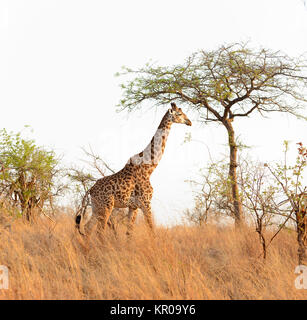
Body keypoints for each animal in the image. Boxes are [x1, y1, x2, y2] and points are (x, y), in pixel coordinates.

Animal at [76, 103, 192, 238]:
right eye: (179, 113)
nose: (189, 122)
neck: (149, 167)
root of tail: (90, 190)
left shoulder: (134, 206)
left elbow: (129, 233)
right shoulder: (146, 202)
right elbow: (151, 229)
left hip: (96, 207)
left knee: (88, 228)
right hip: (107, 206)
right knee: (100, 231)